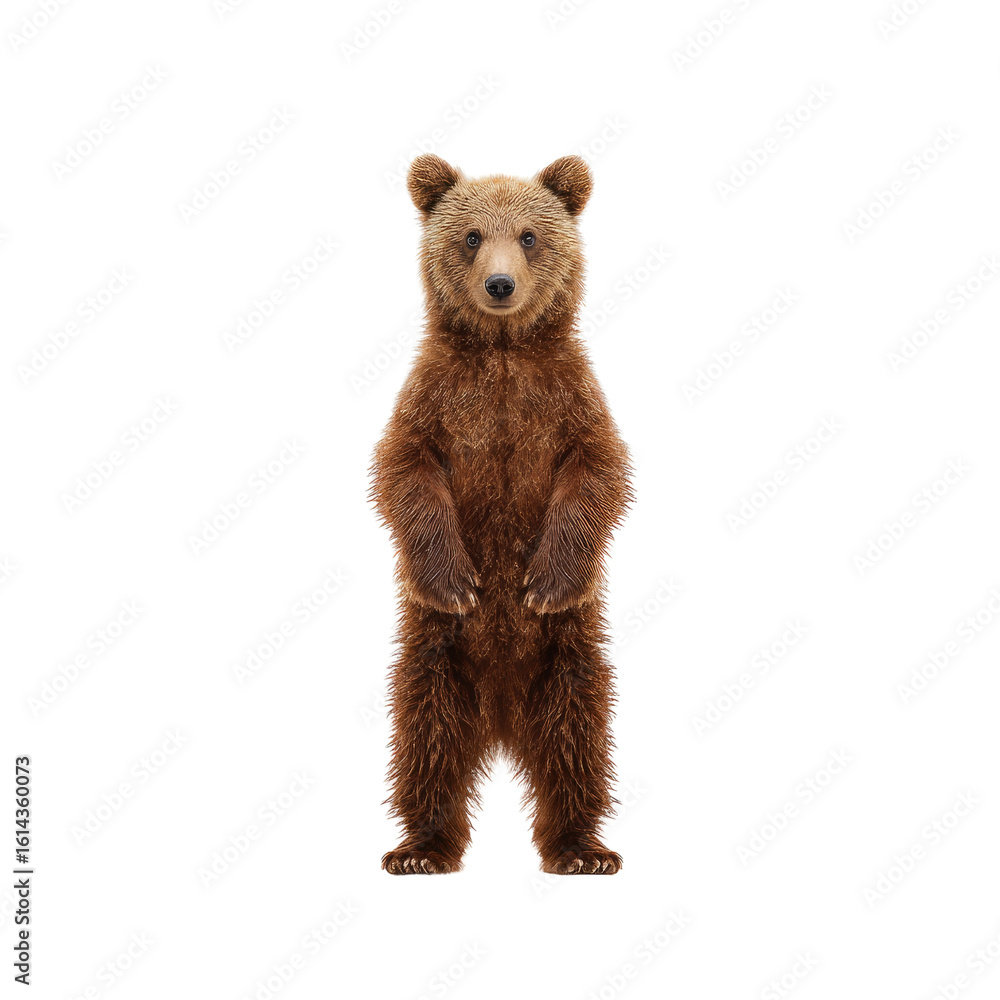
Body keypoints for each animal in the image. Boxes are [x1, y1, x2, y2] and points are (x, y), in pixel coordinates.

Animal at [370, 153, 633, 875]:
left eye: (529, 236)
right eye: (470, 236)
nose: (499, 283)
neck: (503, 350)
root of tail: (502, 719)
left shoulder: (569, 398)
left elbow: (598, 473)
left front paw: (544, 581)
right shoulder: (434, 399)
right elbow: (404, 473)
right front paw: (457, 579)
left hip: (568, 653)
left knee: (579, 736)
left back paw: (582, 848)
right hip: (435, 652)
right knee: (423, 735)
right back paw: (420, 848)